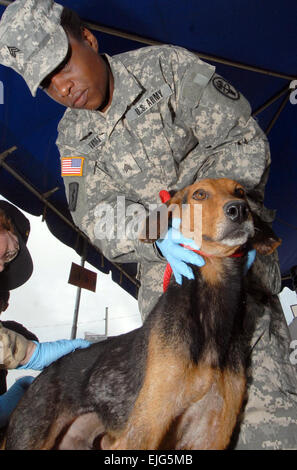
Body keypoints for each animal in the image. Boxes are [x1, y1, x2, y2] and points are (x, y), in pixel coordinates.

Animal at [4, 178, 278, 450]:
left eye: (240, 192)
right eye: (199, 194)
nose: (239, 210)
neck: (213, 307)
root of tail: (40, 377)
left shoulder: (212, 434)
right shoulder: (145, 428)